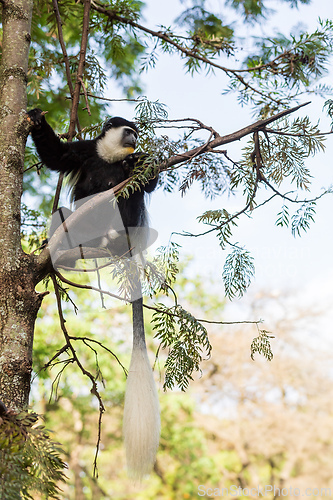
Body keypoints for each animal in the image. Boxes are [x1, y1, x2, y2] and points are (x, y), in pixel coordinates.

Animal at [27, 107, 160, 478]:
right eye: (128, 130)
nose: (135, 139)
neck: (111, 157)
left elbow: (145, 182)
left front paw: (141, 162)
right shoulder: (85, 152)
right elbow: (57, 156)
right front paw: (36, 118)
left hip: (127, 225)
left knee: (130, 198)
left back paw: (114, 237)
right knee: (63, 214)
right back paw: (64, 250)